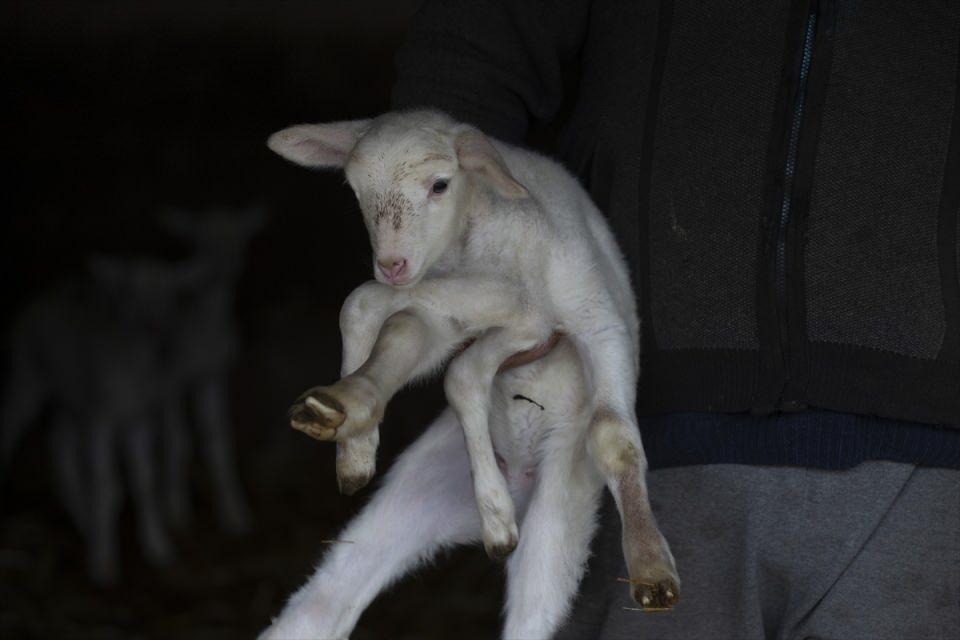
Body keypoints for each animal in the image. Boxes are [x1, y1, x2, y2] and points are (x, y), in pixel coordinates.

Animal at [262, 111, 680, 640]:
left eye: (440, 184)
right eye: (356, 191)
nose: (391, 263)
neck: (475, 240)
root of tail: (521, 484)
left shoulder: (579, 318)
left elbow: (612, 436)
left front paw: (651, 563)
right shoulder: (455, 309)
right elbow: (381, 317)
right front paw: (350, 426)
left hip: (555, 516)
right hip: (416, 495)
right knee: (321, 606)